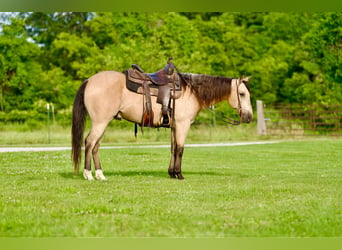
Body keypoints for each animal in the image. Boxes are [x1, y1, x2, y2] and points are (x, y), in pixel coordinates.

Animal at [72, 59, 252, 180]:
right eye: (242, 94)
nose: (249, 117)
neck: (191, 91)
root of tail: (89, 80)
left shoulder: (174, 127)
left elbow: (173, 149)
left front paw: (171, 173)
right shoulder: (183, 125)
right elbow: (180, 149)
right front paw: (179, 174)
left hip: (104, 123)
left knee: (95, 146)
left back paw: (100, 175)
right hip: (100, 122)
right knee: (89, 142)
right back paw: (88, 174)